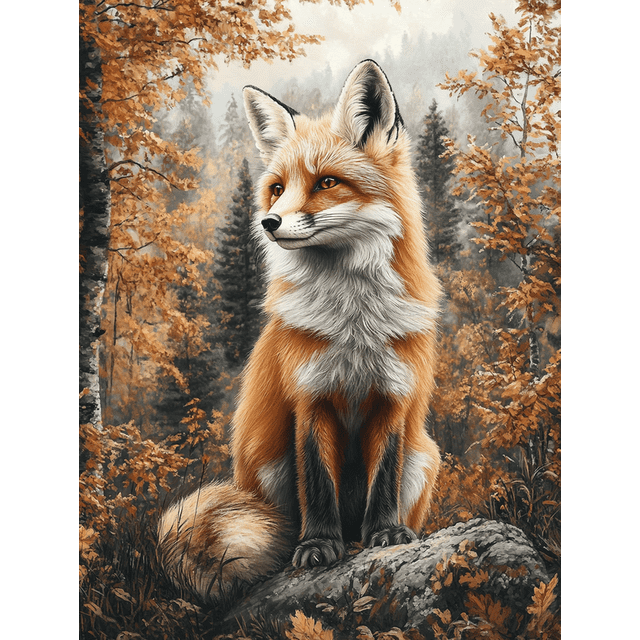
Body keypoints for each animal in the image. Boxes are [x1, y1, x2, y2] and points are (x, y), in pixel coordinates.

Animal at [158, 59, 443, 603]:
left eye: (327, 182)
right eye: (276, 188)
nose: (268, 223)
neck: (354, 324)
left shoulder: (393, 399)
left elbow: (383, 480)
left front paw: (386, 534)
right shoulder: (309, 399)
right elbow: (318, 485)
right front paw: (317, 546)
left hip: (425, 456)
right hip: (268, 463)